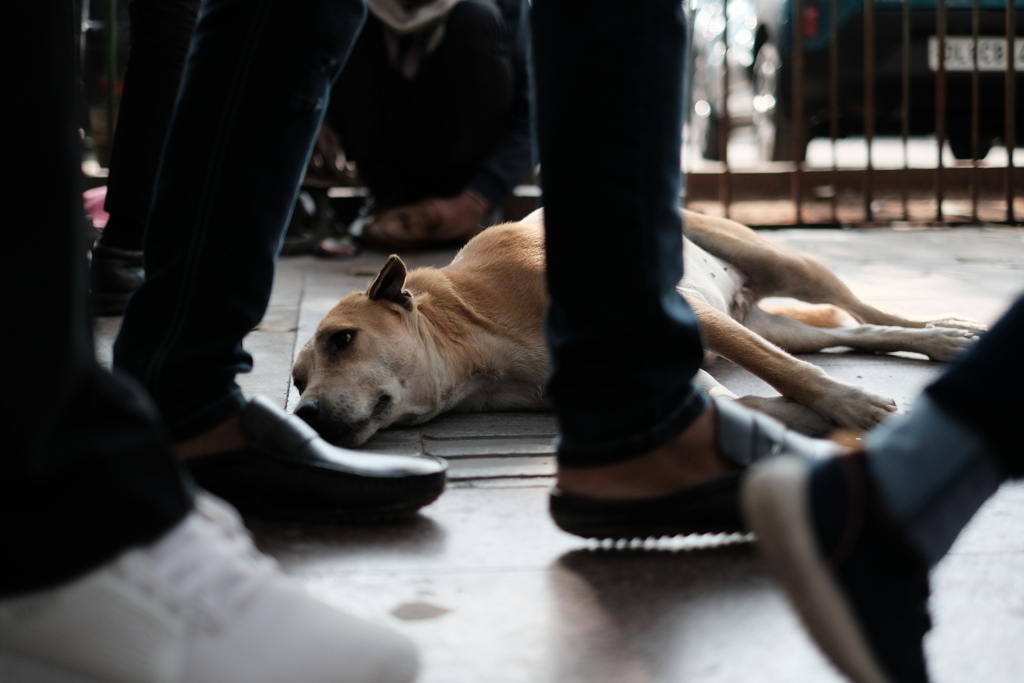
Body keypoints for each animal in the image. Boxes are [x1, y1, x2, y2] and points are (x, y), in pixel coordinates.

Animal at [290, 210, 983, 448]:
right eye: (297, 381)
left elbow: (785, 377)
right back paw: (936, 341)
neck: (473, 333)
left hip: (779, 263)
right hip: (759, 317)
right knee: (852, 336)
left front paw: (850, 406)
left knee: (868, 314)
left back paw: (941, 334)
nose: (307, 417)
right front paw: (805, 420)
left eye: (342, 339)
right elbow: (749, 402)